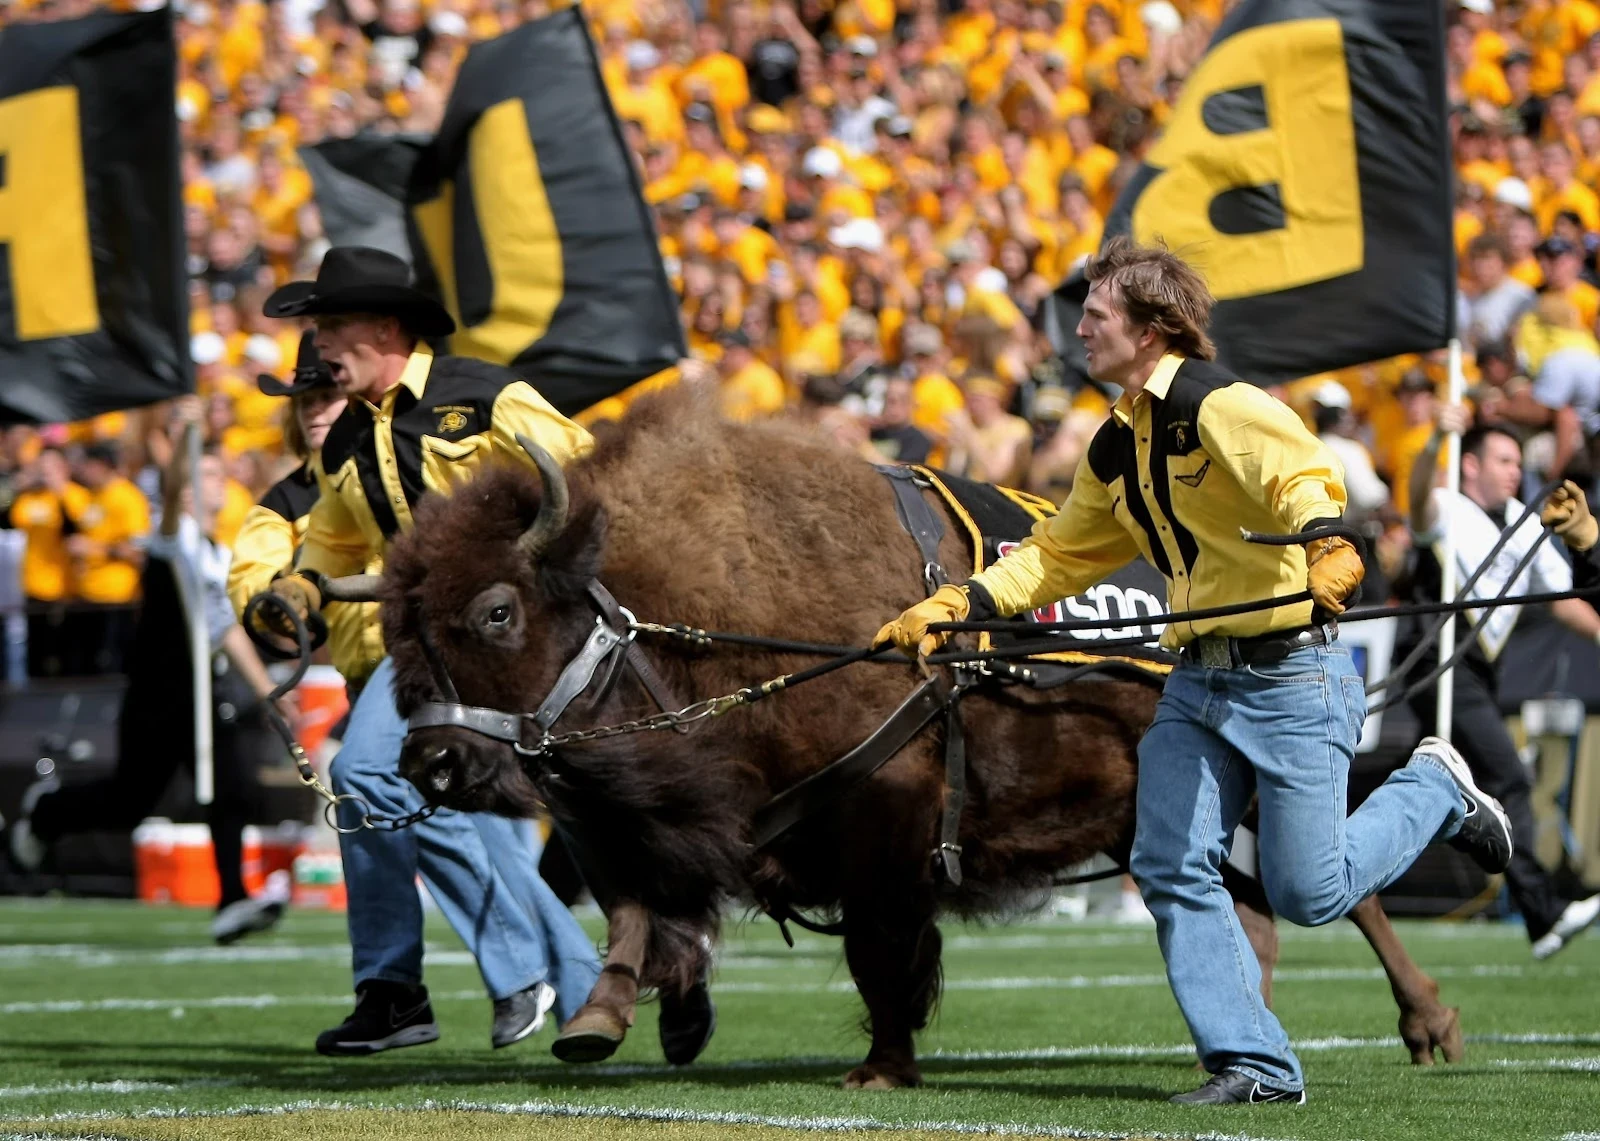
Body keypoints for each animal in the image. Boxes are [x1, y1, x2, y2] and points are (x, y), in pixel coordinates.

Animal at [368, 388, 1459, 1088]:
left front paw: (882, 1069)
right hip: (1165, 814)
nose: (435, 761)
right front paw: (600, 1024)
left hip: (1259, 790)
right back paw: (1244, 1045)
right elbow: (640, 903)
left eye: (499, 609)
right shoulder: (638, 821)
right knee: (1256, 913)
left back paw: (1429, 1024)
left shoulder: (881, 829)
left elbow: (880, 948)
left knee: (1340, 890)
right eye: (395, 625)